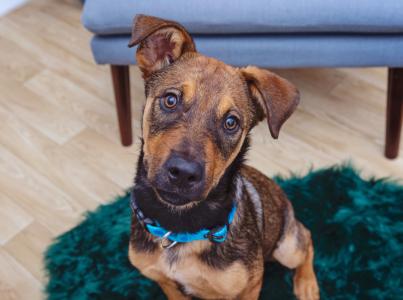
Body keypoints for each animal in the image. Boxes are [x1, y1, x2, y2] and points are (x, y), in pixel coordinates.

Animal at [128, 14, 320, 300]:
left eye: (231, 122)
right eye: (170, 100)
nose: (183, 173)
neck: (178, 226)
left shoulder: (249, 287)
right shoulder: (165, 281)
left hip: (286, 247)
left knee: (307, 238)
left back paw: (307, 284)